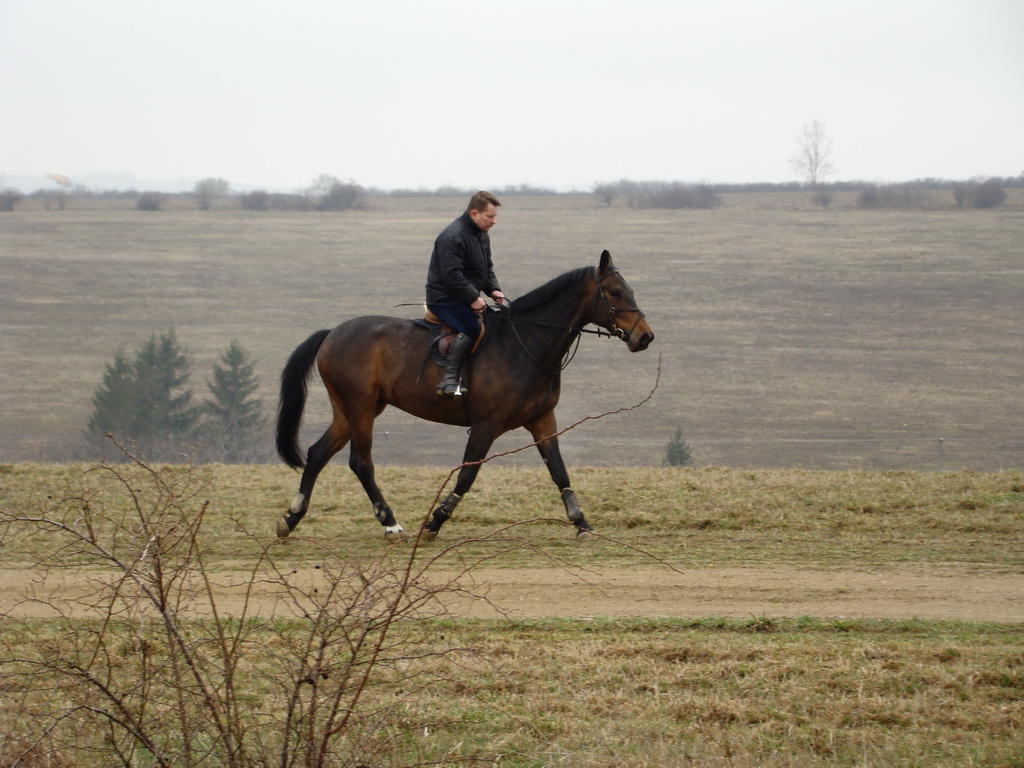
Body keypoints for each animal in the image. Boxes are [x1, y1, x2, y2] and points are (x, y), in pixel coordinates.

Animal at [274, 252, 655, 540]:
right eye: (615, 292)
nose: (645, 337)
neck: (525, 344)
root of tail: (332, 334)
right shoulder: (486, 426)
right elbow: (467, 476)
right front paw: (436, 521)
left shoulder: (542, 420)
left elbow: (560, 472)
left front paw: (581, 522)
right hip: (361, 409)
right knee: (361, 462)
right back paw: (390, 523)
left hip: (350, 410)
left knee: (318, 454)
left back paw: (291, 518)